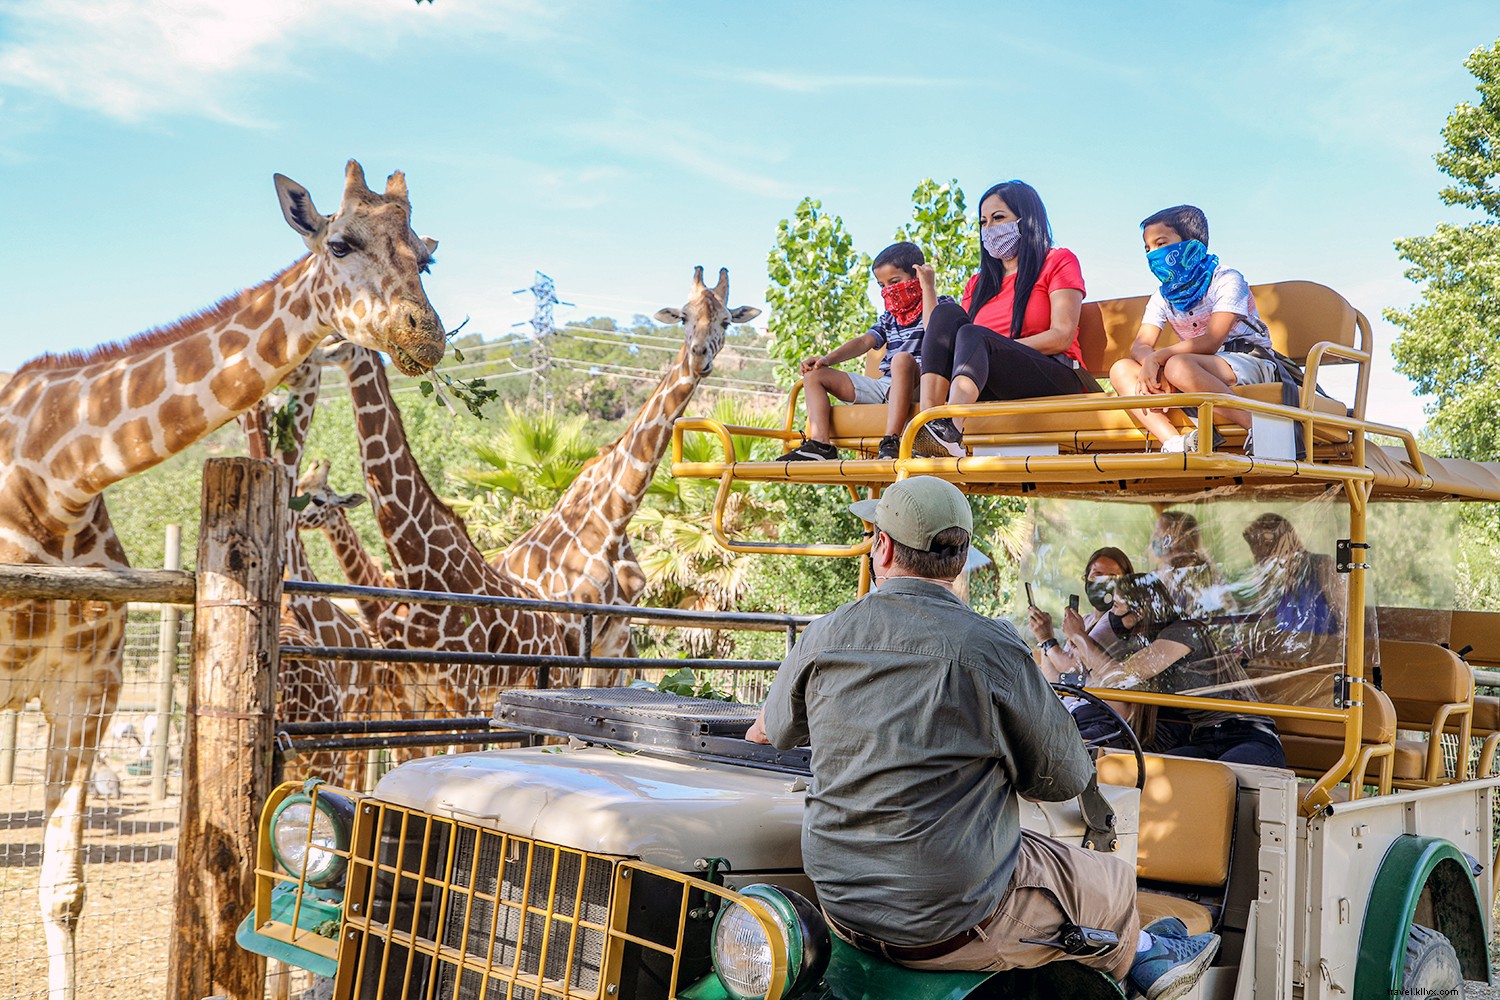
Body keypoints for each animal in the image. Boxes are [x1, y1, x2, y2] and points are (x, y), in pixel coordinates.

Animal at [0, 162, 444, 1000]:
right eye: (339, 242)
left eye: (428, 258)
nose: (423, 333)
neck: (50, 478)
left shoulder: (87, 685)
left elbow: (64, 889)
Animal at [324, 338, 579, 728]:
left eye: (344, 339)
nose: (320, 350)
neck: (415, 567)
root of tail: (556, 633)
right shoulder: (412, 691)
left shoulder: (461, 685)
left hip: (544, 683)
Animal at [495, 265, 762, 656]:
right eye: (684, 317)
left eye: (726, 322)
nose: (699, 356)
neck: (614, 521)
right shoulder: (573, 630)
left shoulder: (619, 633)